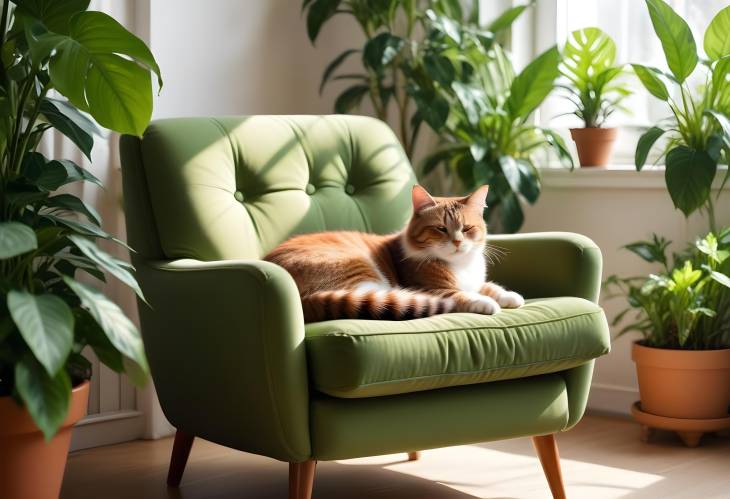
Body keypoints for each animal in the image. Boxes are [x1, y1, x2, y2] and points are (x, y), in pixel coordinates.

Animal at [264, 186, 524, 322]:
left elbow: (490, 286)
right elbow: (463, 294)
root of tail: (301, 300)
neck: (460, 264)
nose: (458, 241)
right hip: (361, 271)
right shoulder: (431, 287)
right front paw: (487, 302)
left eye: (468, 228)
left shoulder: (476, 281)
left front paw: (510, 296)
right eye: (441, 229)